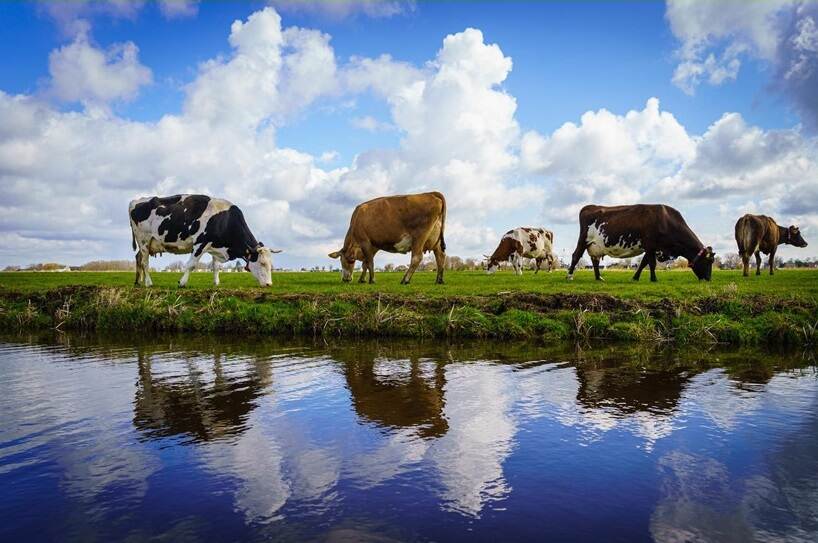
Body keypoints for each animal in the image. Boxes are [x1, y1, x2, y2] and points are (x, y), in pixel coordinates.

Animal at [127, 196, 280, 288]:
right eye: (262, 263)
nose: (269, 284)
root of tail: (136, 200)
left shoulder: (215, 245)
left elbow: (216, 266)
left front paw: (216, 282)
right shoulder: (200, 243)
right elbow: (191, 264)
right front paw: (182, 283)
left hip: (146, 244)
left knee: (138, 258)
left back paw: (138, 282)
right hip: (144, 240)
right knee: (144, 262)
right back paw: (148, 283)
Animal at [564, 203, 712, 282]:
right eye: (708, 261)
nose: (709, 279)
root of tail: (589, 206)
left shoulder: (651, 247)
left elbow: (643, 263)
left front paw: (635, 277)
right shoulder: (651, 244)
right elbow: (651, 264)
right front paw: (654, 279)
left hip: (596, 245)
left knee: (594, 260)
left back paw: (599, 278)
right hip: (584, 239)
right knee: (576, 255)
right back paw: (569, 276)